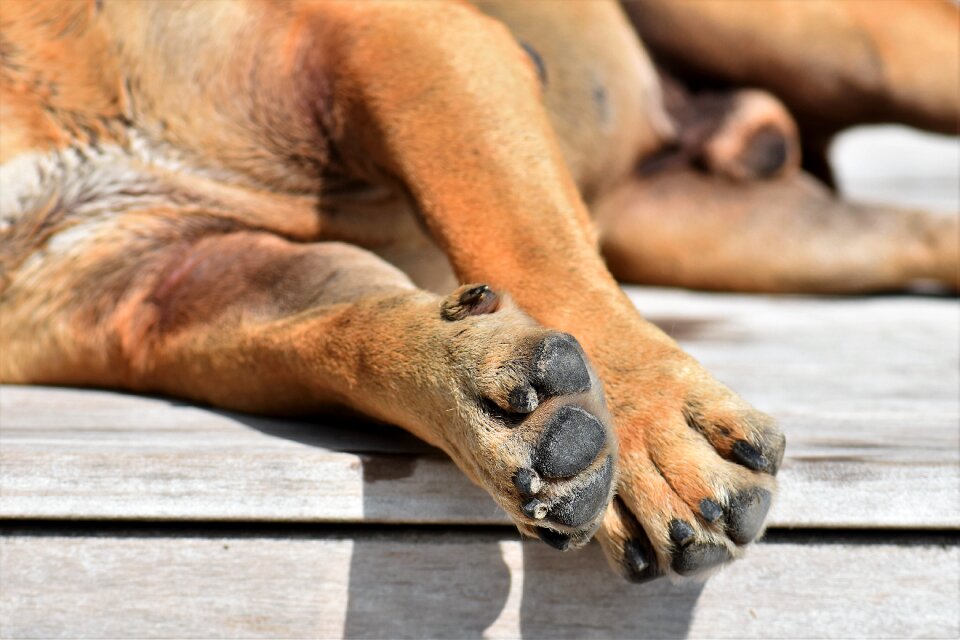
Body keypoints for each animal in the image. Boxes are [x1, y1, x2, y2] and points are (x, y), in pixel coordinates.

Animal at [0, 0, 956, 584]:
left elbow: (523, 238)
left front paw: (647, 436)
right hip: (748, 234)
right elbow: (338, 334)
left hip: (848, 47)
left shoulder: (397, 42)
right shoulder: (159, 284)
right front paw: (485, 404)